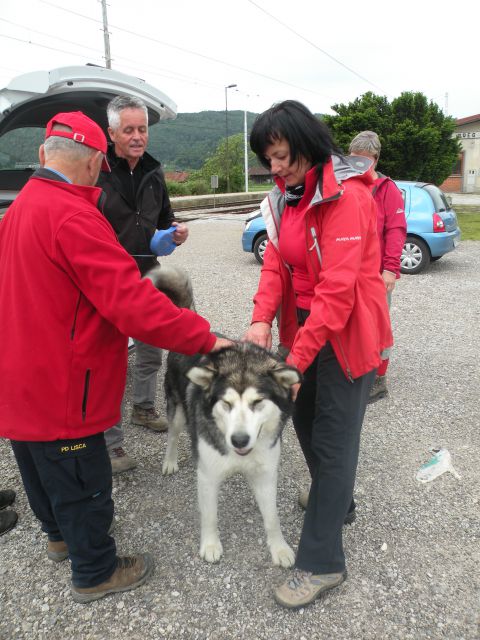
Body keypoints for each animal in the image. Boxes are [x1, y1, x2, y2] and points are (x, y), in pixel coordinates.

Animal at [147, 264, 300, 564]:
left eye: (257, 402)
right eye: (226, 403)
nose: (239, 440)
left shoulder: (266, 474)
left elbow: (272, 518)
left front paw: (279, 548)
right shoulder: (208, 475)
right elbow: (210, 516)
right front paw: (210, 545)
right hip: (177, 410)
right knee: (173, 434)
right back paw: (170, 460)